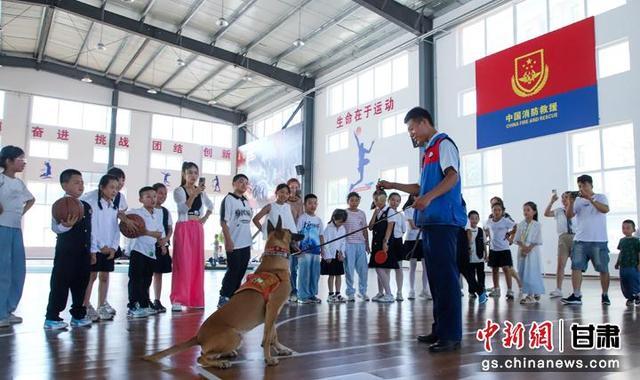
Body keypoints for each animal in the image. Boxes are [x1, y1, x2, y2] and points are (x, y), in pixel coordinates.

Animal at [144, 217, 304, 368]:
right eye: (291, 232)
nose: (302, 234)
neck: (274, 265)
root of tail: (198, 337)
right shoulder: (272, 308)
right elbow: (267, 338)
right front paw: (269, 359)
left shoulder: (272, 312)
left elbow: (273, 335)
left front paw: (281, 349)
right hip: (235, 336)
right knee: (201, 357)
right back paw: (221, 363)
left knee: (206, 354)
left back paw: (227, 354)